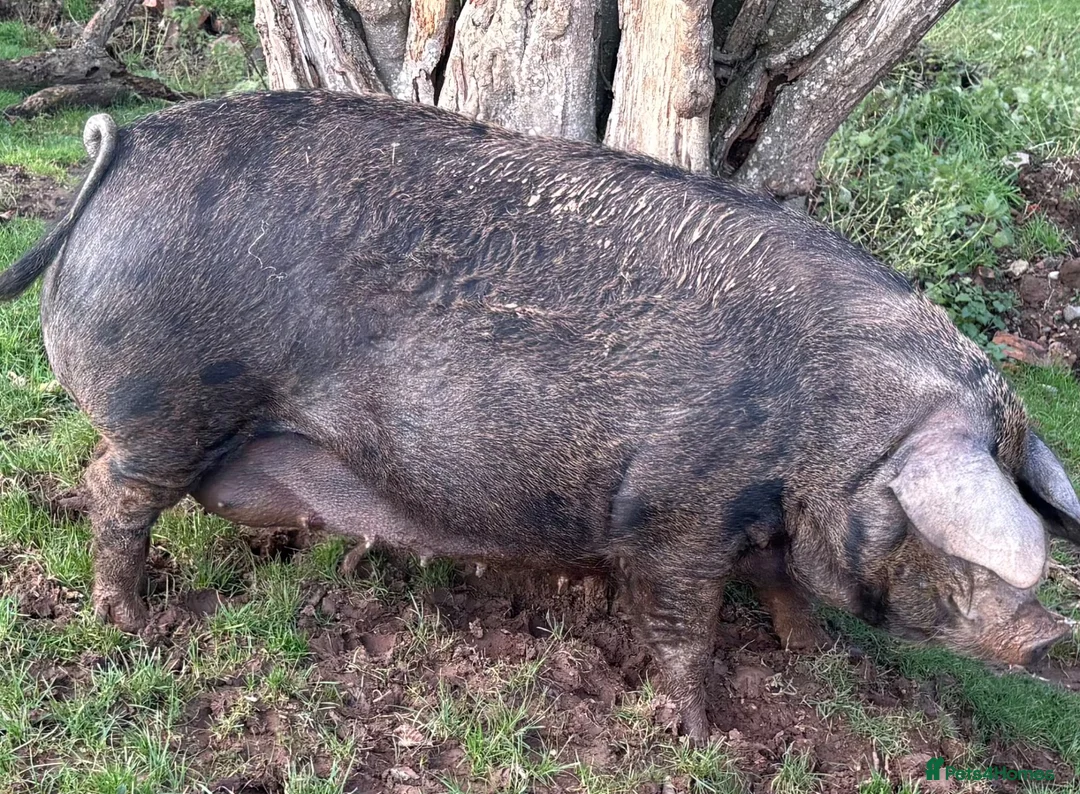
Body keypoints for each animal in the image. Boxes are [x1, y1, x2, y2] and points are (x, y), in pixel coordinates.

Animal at [2, 90, 1079, 742]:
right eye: (964, 550)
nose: (1051, 639)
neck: (834, 440)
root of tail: (126, 143)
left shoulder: (761, 523)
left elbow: (784, 588)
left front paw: (812, 657)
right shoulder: (674, 516)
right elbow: (682, 625)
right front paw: (706, 733)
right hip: (165, 407)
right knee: (112, 489)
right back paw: (133, 623)